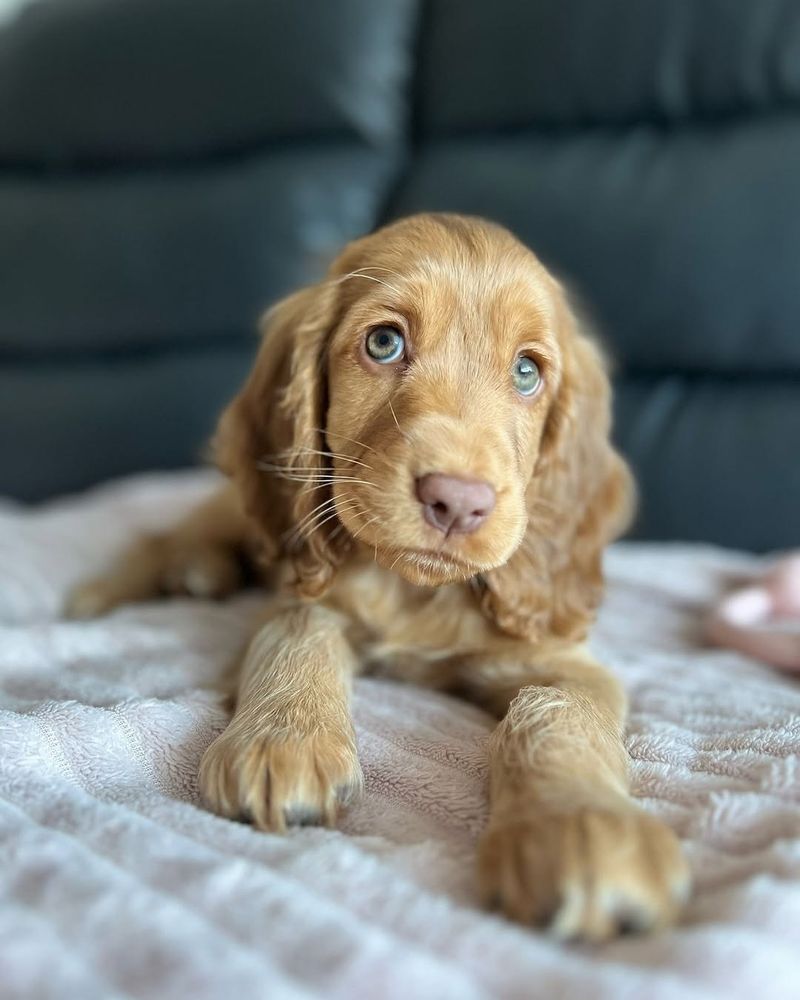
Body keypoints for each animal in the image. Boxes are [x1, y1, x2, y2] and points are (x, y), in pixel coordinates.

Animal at [69, 213, 692, 944]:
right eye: (384, 342)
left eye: (527, 372)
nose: (458, 501)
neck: (413, 591)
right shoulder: (305, 590)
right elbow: (297, 627)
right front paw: (284, 743)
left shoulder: (561, 659)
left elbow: (557, 712)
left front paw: (581, 828)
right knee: (173, 531)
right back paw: (119, 589)